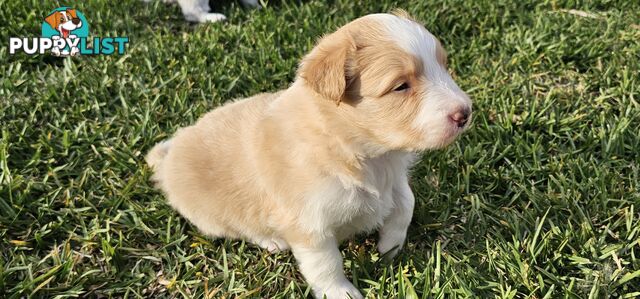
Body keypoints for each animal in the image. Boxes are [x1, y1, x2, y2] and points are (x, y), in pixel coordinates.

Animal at [148, 10, 472, 298]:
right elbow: (326, 265)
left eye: (444, 66)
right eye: (401, 86)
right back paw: (272, 240)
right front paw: (341, 293)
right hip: (213, 217)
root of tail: (169, 154)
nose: (465, 113)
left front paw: (390, 246)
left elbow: (406, 201)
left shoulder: (393, 178)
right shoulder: (309, 225)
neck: (363, 152)